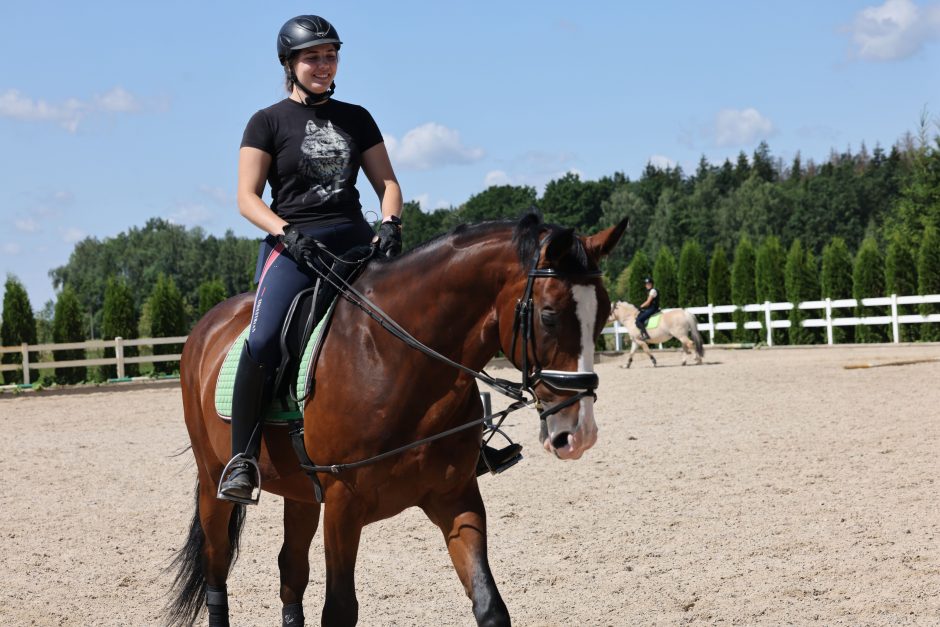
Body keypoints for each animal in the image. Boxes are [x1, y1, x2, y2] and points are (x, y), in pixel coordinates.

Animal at [168, 212, 624, 627]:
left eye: (603, 315)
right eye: (548, 315)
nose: (579, 433)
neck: (396, 359)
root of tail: (207, 325)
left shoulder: (454, 497)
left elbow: (490, 605)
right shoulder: (343, 504)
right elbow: (340, 611)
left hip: (301, 493)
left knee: (291, 569)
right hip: (213, 481)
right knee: (216, 564)